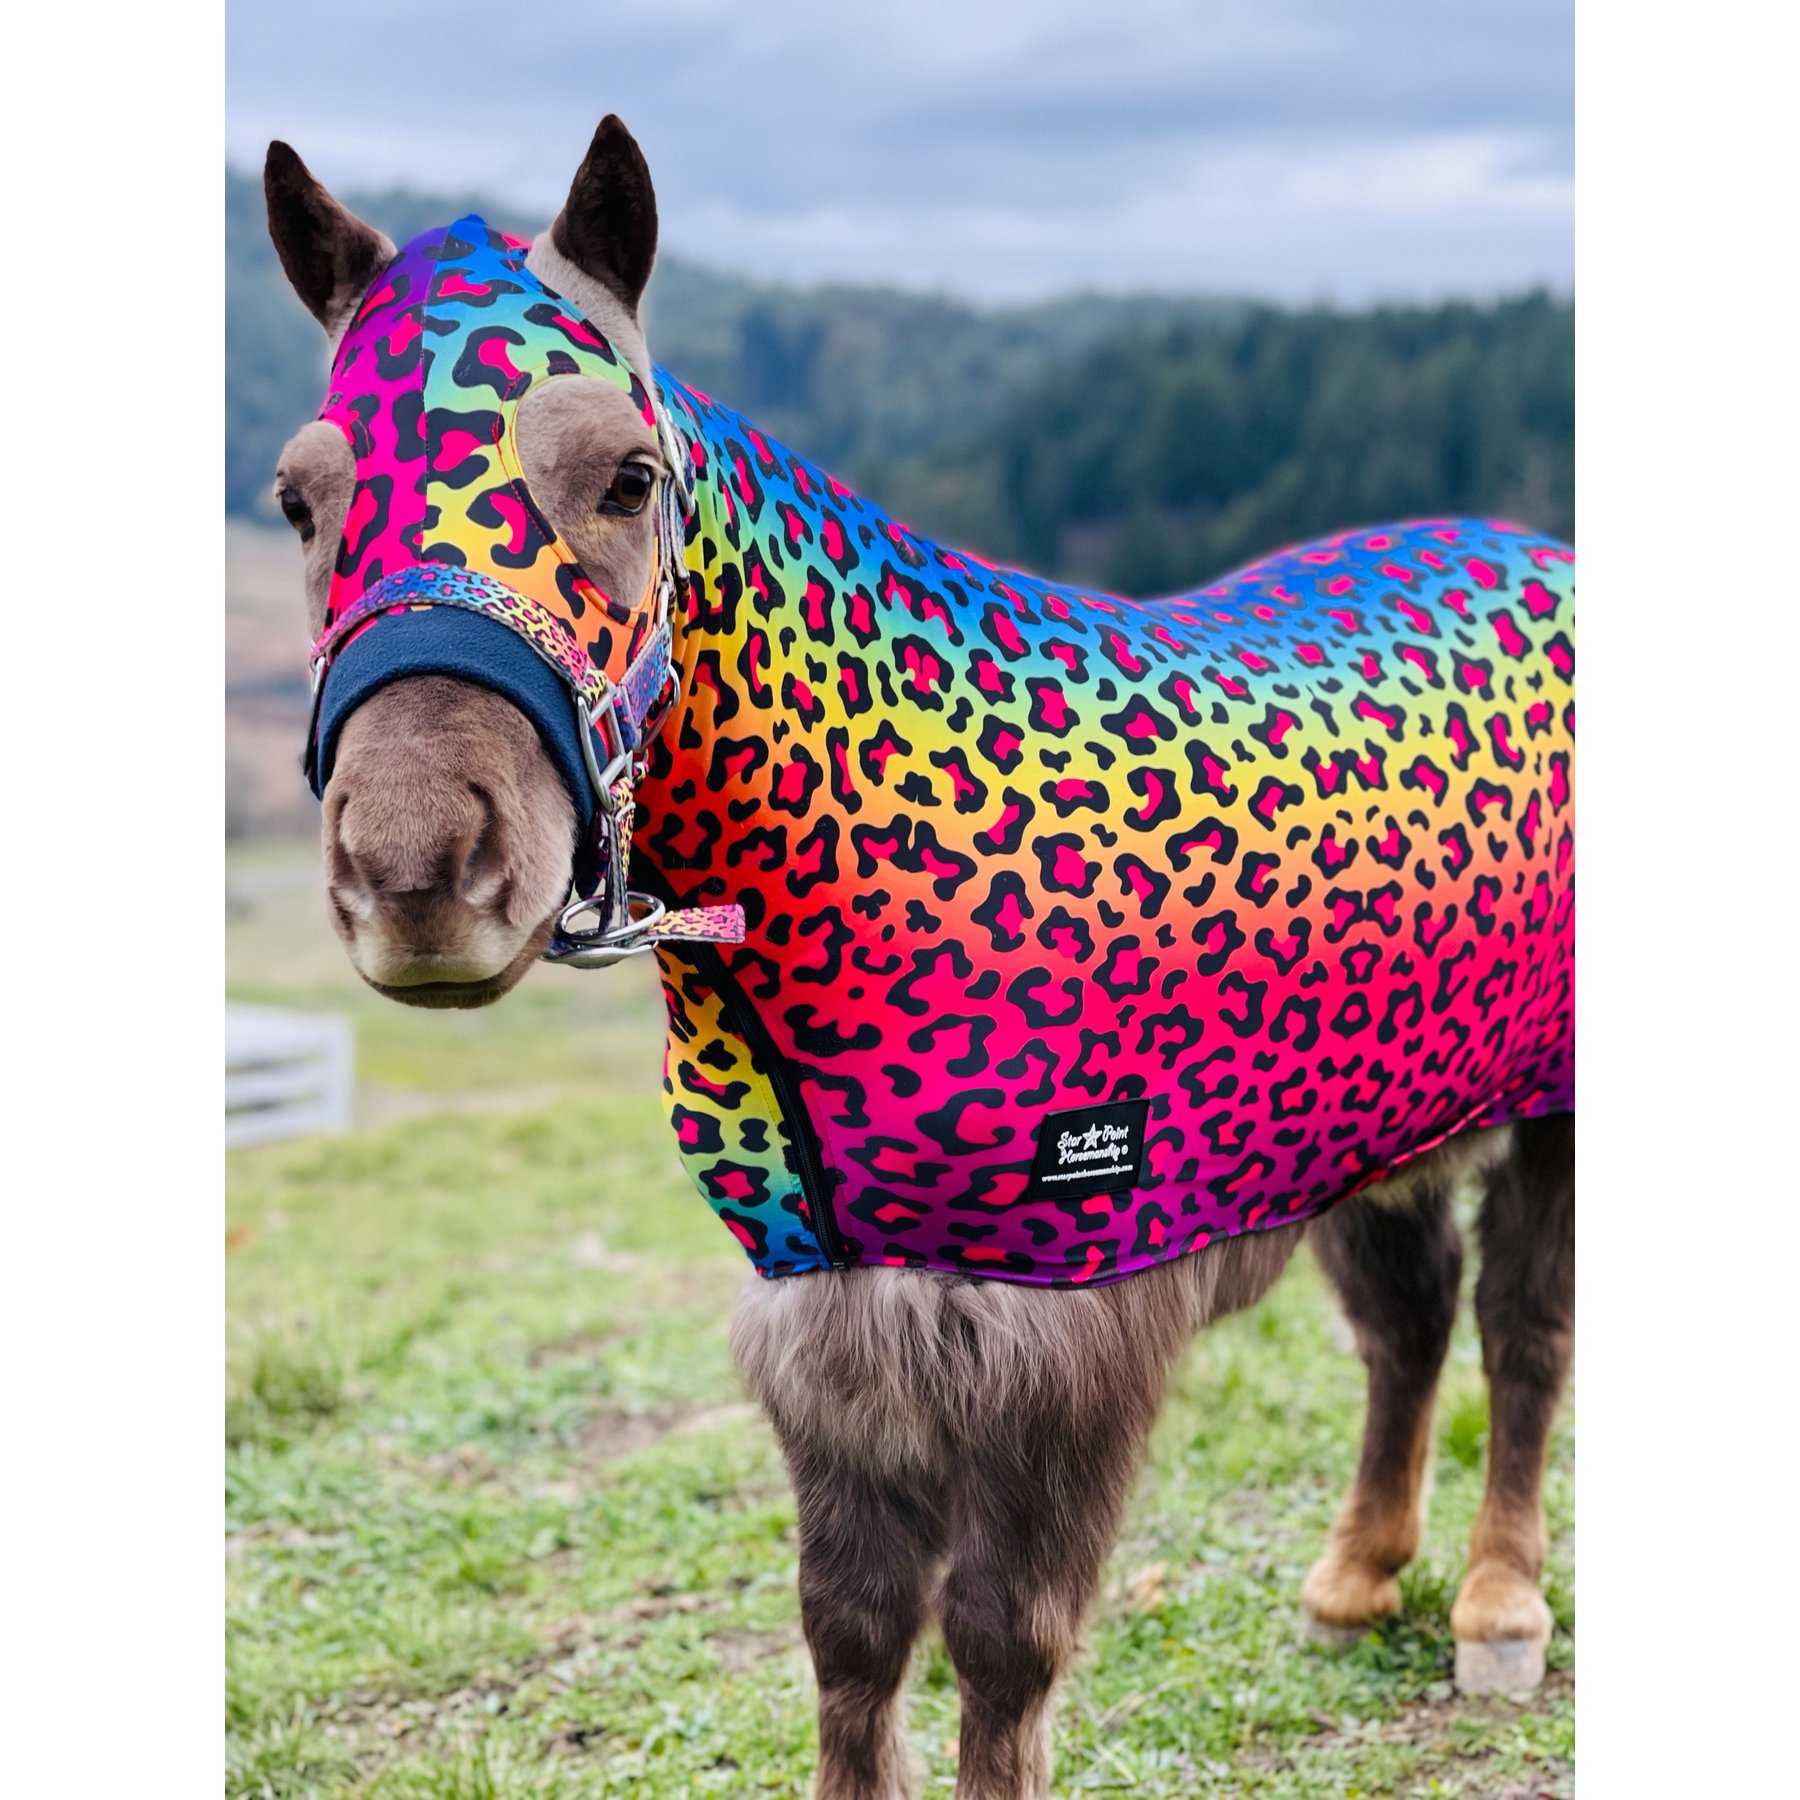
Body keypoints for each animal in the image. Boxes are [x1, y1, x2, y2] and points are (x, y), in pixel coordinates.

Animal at [263, 115, 1574, 1800]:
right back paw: (1355, 1580)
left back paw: (1498, 1608)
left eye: (627, 476)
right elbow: (853, 1632)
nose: (419, 874)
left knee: (1521, 1333)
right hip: (1376, 1120)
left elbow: (1000, 1644)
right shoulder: (842, 1323)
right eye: (297, 502)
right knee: (1408, 1321)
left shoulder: (1049, 1343)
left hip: (1545, 1107)